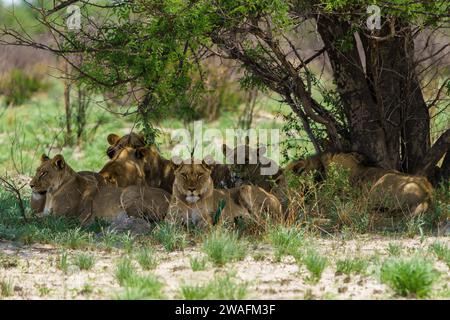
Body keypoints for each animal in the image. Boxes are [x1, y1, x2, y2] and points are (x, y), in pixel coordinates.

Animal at [30, 154, 171, 224]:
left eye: (44, 173)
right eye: (37, 171)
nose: (30, 185)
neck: (51, 194)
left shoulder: (61, 217)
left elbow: (35, 217)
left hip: (128, 192)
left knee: (140, 219)